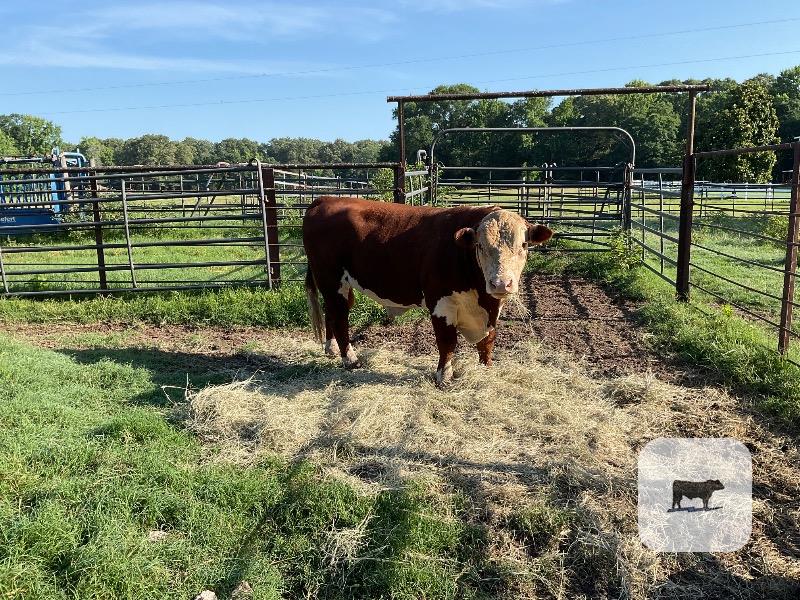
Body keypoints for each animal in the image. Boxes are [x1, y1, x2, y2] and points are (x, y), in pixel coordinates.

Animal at [302, 196, 553, 385]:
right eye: (480, 245)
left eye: (524, 245)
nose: (501, 283)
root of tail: (326, 199)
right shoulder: (440, 303)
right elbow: (447, 342)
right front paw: (444, 376)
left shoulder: (493, 309)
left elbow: (487, 342)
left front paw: (486, 370)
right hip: (331, 280)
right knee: (340, 318)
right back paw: (350, 360)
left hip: (337, 285)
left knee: (331, 312)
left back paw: (332, 349)